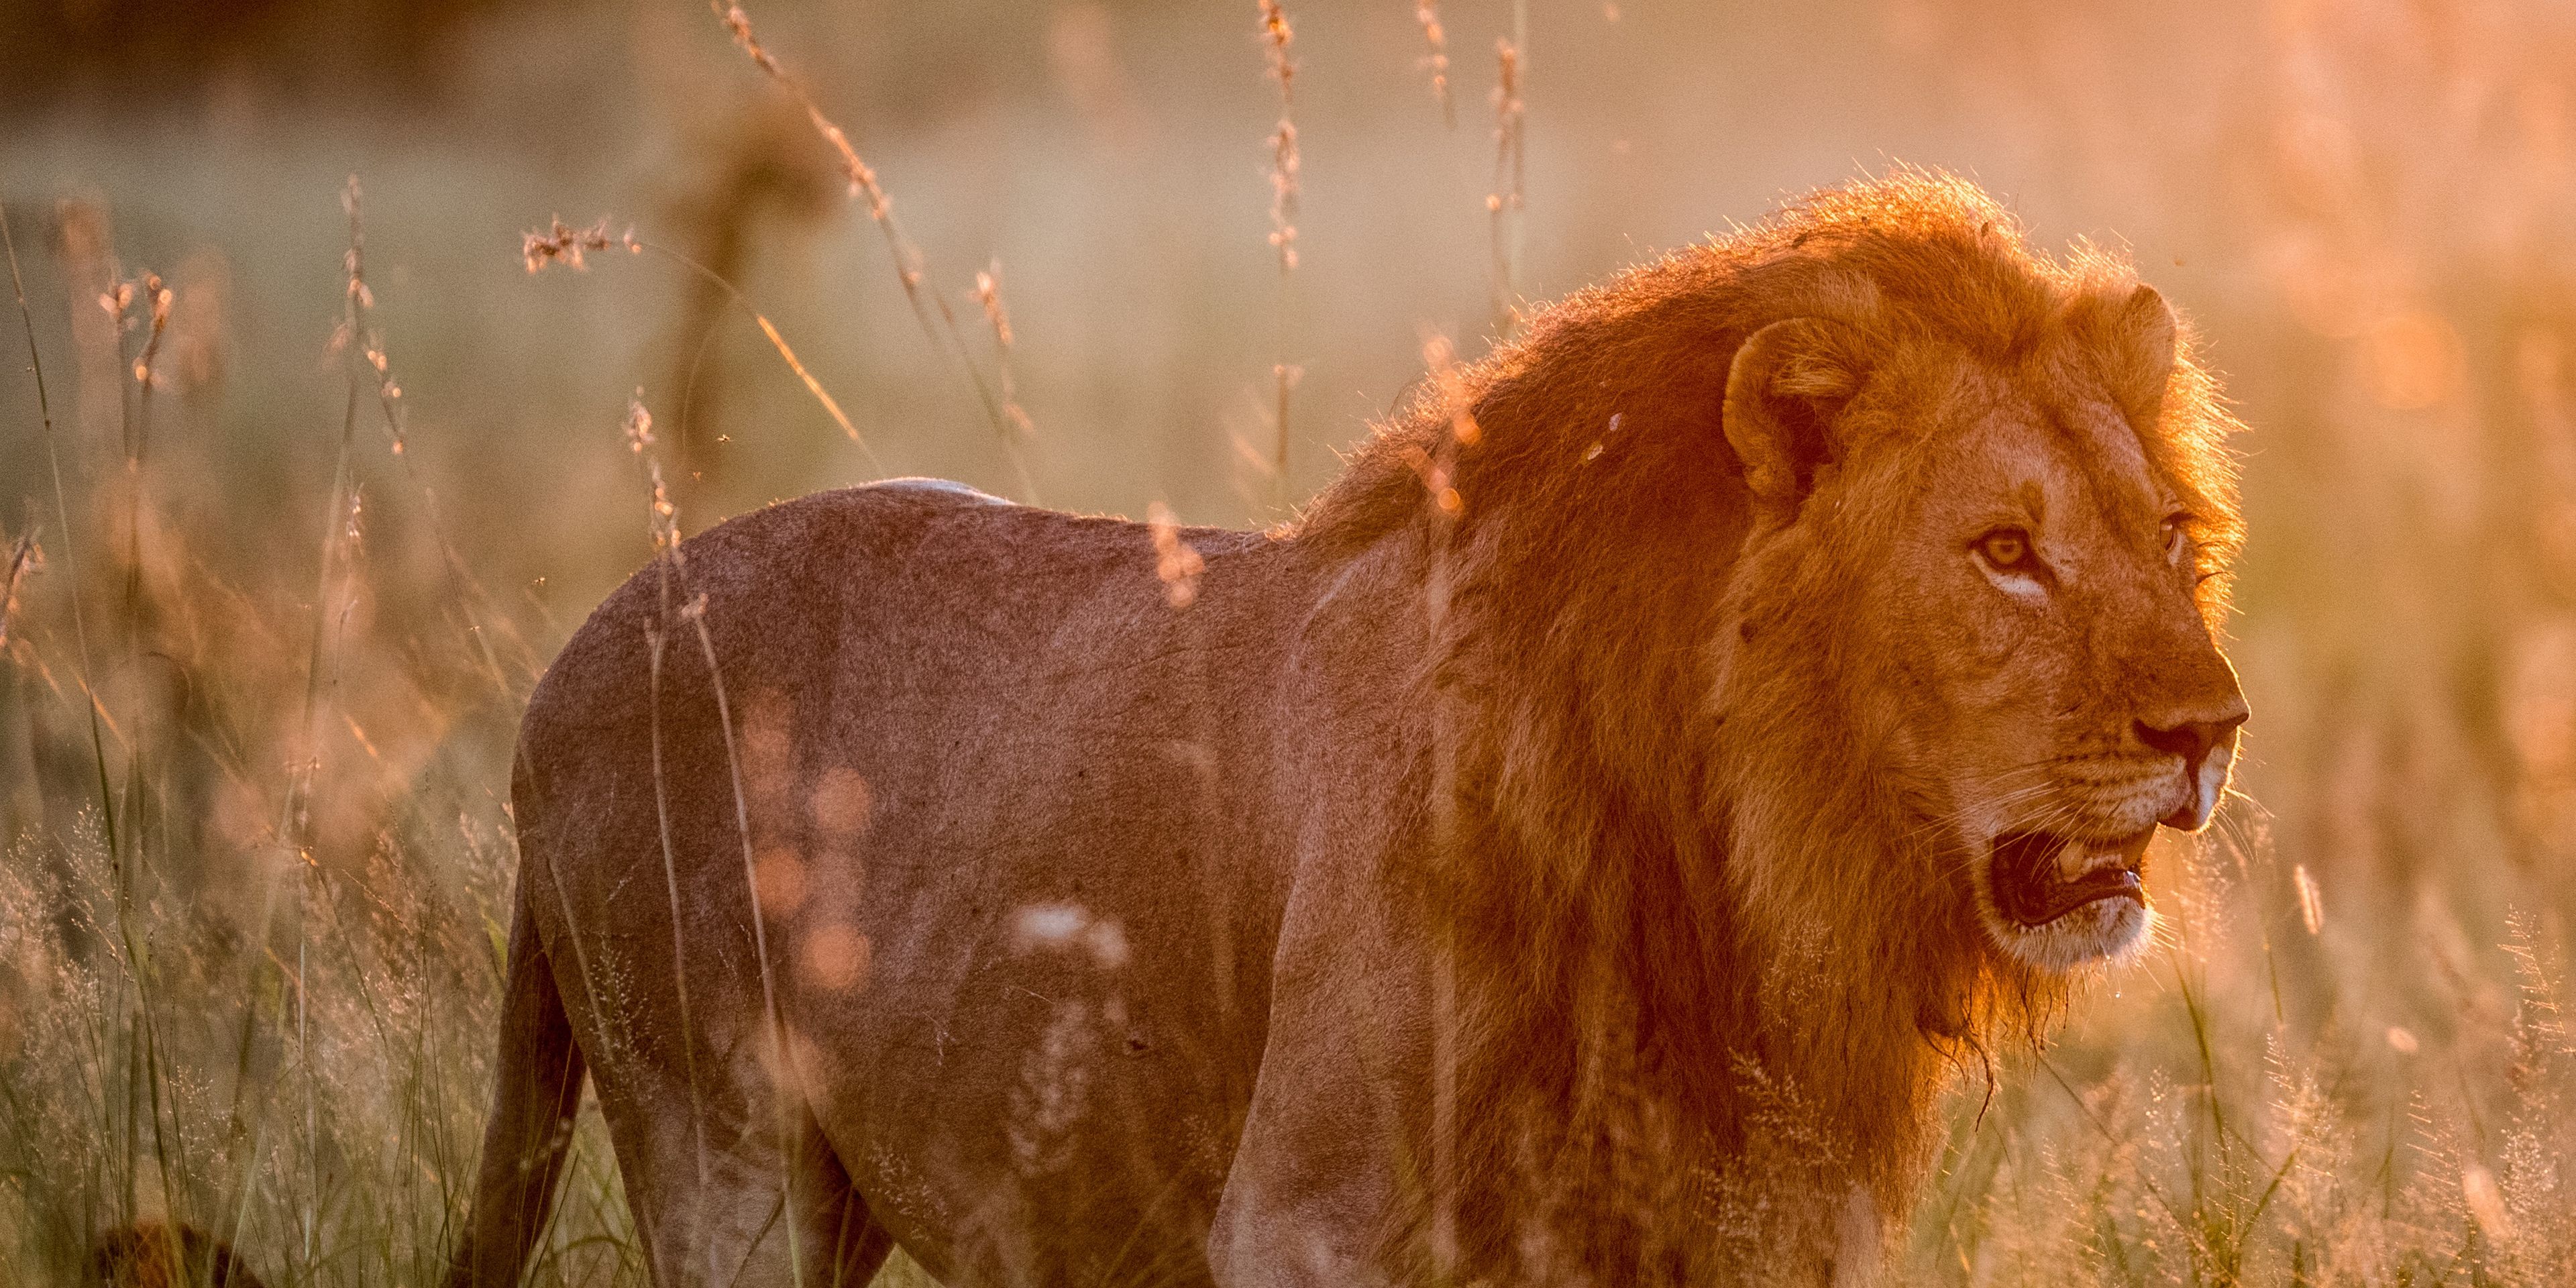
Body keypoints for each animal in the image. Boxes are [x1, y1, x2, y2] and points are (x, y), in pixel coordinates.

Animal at [447, 171, 2246, 1288]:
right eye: (2003, 551)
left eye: (2163, 532)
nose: (2210, 727)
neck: (1745, 861)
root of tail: (579, 650)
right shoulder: (1303, 1217)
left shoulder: (1769, 1227)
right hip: (720, 1143)